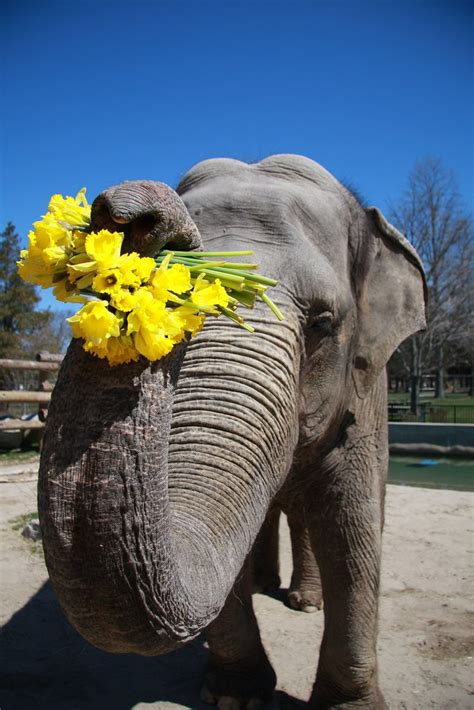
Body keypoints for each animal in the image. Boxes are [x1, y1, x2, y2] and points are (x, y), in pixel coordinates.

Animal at [38, 153, 426, 708]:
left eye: (323, 323)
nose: (130, 215)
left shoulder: (366, 398)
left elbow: (354, 534)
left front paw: (350, 706)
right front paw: (235, 697)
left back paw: (303, 602)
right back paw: (268, 585)